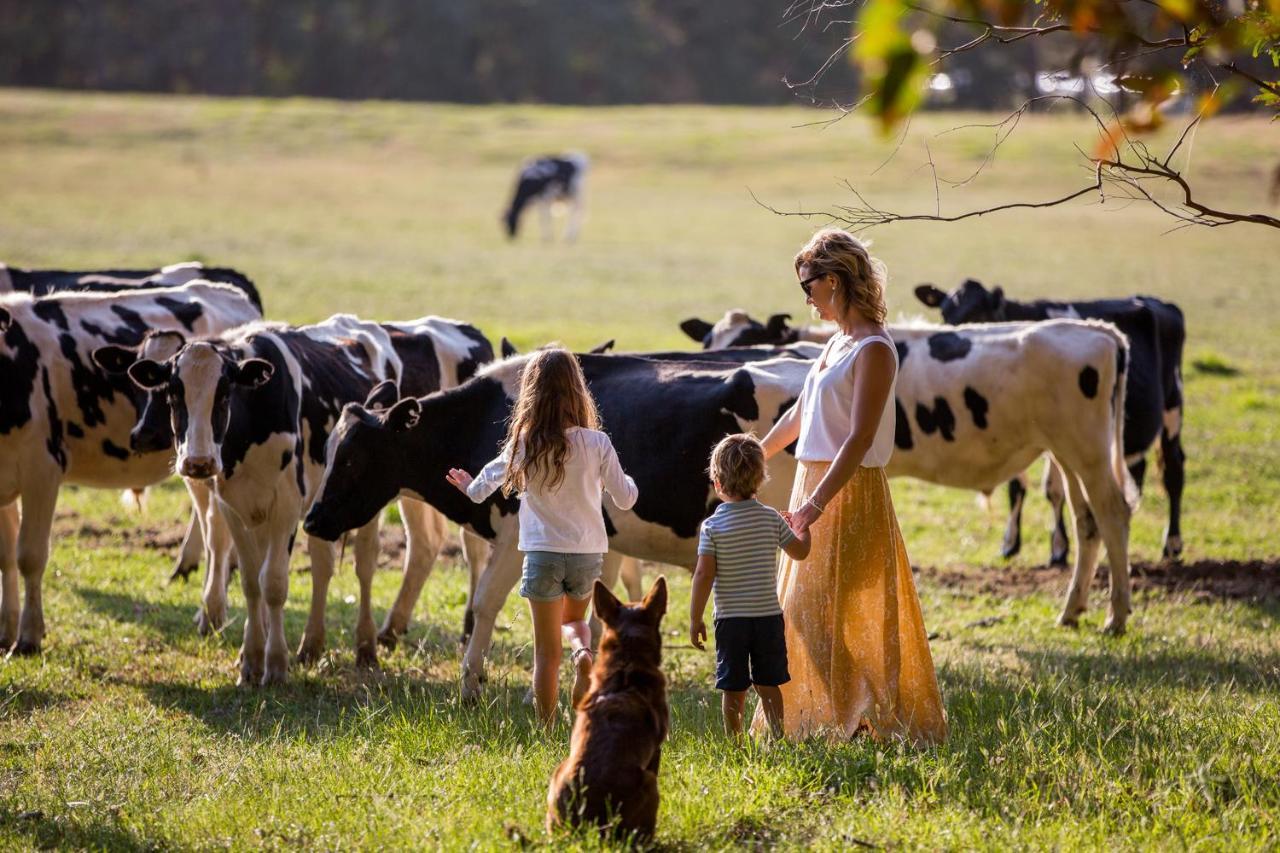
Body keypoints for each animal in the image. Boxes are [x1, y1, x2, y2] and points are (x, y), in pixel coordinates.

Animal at [0, 281, 259, 653]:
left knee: (218, 530)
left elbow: (30, 556)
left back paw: (212, 609)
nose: (144, 434)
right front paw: (6, 632)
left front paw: (29, 637)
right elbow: (6, 556)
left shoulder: (43, 471)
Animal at [916, 275, 1182, 560]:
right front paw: (1010, 543)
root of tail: (1153, 301)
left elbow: (1053, 490)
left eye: (978, 314)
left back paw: (1172, 543)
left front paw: (1059, 547)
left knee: (1173, 470)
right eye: (944, 313)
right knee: (1135, 470)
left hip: (1173, 406)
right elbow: (1016, 486)